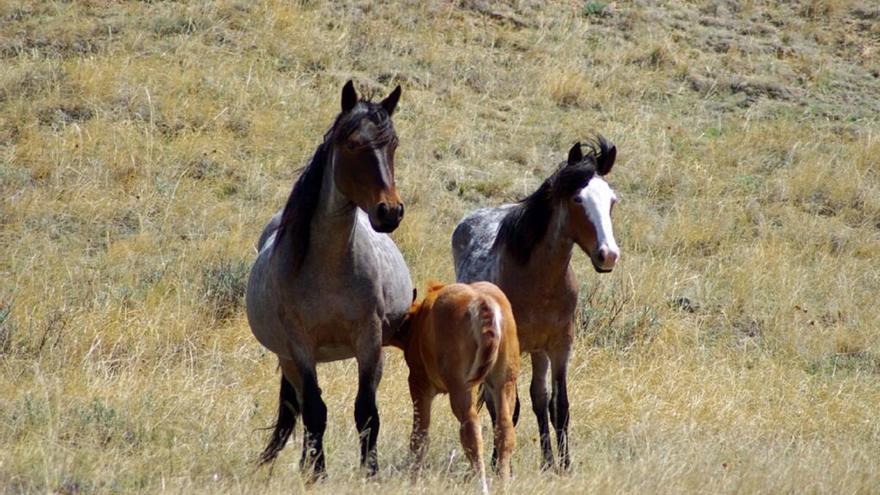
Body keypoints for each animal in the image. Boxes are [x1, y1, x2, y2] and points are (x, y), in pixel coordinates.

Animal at [246, 81, 414, 480]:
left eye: (393, 144)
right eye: (352, 144)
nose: (389, 212)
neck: (329, 270)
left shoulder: (369, 339)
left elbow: (366, 412)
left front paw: (370, 472)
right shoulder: (301, 346)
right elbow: (315, 412)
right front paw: (318, 474)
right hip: (288, 358)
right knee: (301, 407)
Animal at [388, 280, 520, 494]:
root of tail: (483, 303)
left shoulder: (419, 384)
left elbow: (420, 436)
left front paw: (412, 481)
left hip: (462, 388)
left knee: (471, 431)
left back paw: (482, 485)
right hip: (504, 383)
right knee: (504, 429)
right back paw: (504, 485)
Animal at [454, 139, 620, 472]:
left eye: (612, 200)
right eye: (578, 198)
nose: (608, 254)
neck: (539, 281)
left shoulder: (560, 345)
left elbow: (559, 406)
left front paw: (563, 466)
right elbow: (508, 408)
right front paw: (500, 464)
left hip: (538, 351)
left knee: (539, 399)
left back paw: (547, 460)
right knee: (496, 402)